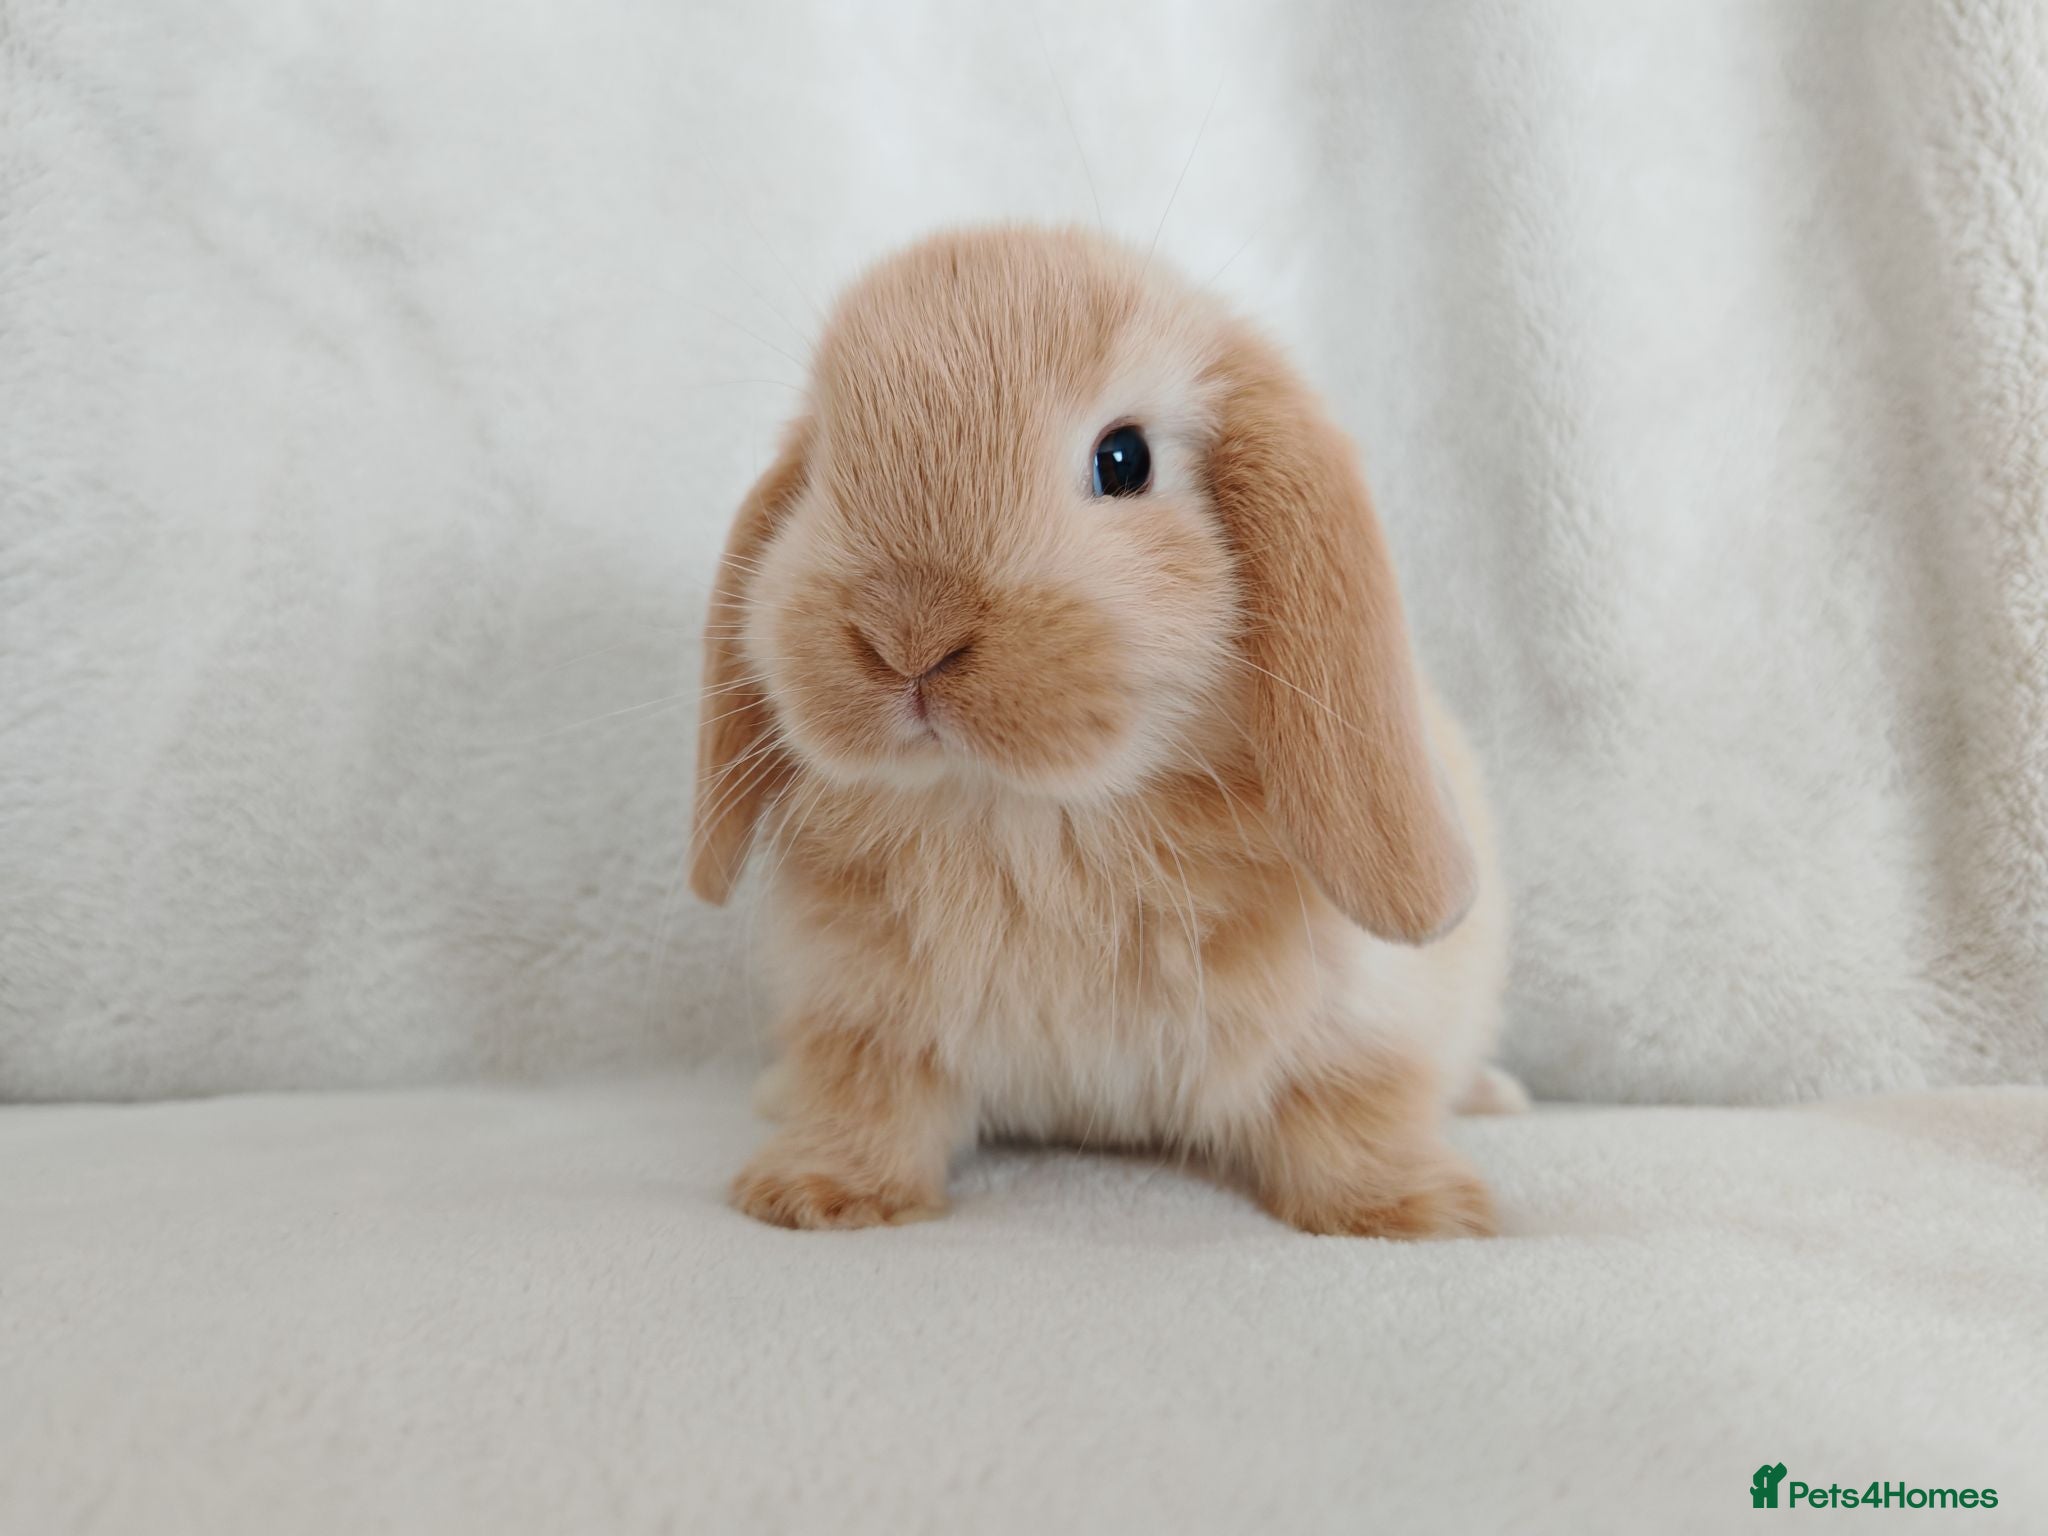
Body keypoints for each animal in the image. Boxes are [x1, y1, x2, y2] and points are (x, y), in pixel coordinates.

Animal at [691, 225, 1522, 1238]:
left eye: (1123, 460)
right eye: (818, 473)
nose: (907, 635)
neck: (1034, 820)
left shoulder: (1361, 1019)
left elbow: (1354, 1105)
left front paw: (1413, 1211)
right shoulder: (857, 1011)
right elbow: (865, 1098)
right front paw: (815, 1196)